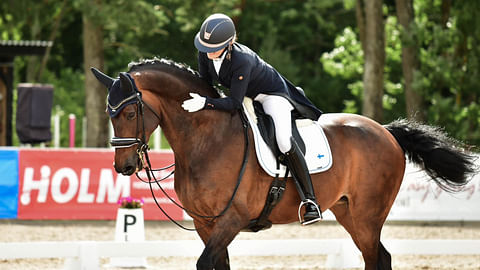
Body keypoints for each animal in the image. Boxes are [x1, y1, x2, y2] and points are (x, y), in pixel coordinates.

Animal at [90, 59, 476, 270]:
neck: (206, 139)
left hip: (368, 216)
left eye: (129, 113)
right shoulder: (205, 223)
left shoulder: (232, 219)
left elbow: (205, 262)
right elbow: (217, 264)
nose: (123, 167)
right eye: (110, 114)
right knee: (379, 257)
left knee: (375, 259)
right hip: (349, 213)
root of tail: (385, 131)